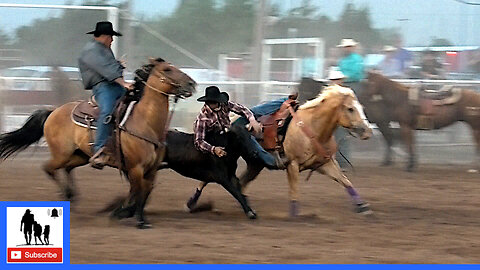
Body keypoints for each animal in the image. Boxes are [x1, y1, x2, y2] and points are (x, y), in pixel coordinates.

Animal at [0, 59, 197, 228]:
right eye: (167, 69)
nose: (192, 84)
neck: (145, 123)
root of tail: (53, 111)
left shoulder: (151, 169)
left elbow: (144, 191)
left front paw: (133, 215)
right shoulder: (135, 167)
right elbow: (137, 191)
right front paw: (130, 216)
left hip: (80, 156)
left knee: (67, 168)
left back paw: (72, 196)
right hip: (61, 154)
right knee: (49, 168)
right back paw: (66, 195)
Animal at [186, 86, 374, 217]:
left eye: (360, 106)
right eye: (350, 108)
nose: (367, 132)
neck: (312, 128)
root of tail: (230, 122)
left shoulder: (325, 163)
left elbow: (345, 181)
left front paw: (363, 207)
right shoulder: (293, 165)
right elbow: (295, 191)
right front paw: (294, 214)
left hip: (255, 164)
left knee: (242, 182)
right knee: (208, 179)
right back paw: (191, 203)